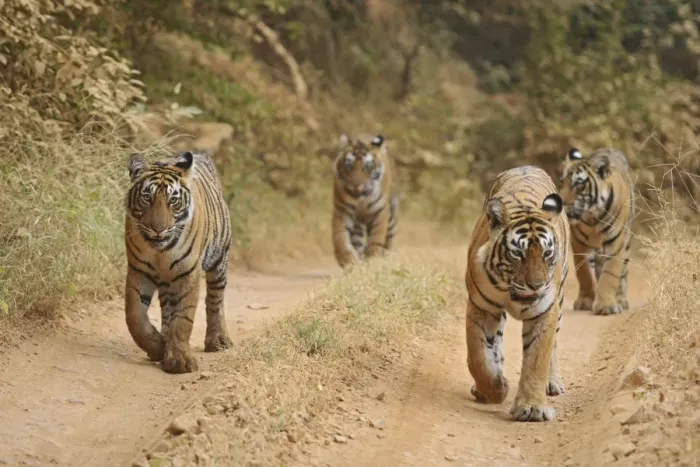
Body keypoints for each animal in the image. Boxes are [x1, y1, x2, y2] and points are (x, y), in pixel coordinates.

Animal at [124, 150, 233, 374]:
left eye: (173, 200)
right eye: (147, 198)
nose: (158, 229)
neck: (160, 251)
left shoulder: (187, 274)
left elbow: (183, 318)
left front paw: (179, 361)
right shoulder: (138, 271)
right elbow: (134, 316)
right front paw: (157, 347)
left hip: (219, 260)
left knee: (215, 300)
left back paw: (217, 340)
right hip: (167, 281)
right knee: (167, 310)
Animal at [332, 133, 399, 269]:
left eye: (368, 166)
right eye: (348, 165)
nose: (356, 185)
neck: (362, 200)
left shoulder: (380, 212)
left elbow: (375, 240)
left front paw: (373, 261)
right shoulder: (342, 211)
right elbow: (340, 240)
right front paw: (349, 263)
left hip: (391, 214)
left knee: (389, 239)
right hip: (357, 224)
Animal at [465, 165, 569, 422]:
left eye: (547, 253)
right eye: (517, 254)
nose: (536, 285)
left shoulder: (545, 310)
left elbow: (537, 357)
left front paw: (532, 407)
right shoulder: (482, 307)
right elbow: (478, 357)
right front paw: (495, 388)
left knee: (554, 345)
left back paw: (552, 383)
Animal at [558, 147, 635, 316]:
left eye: (578, 185)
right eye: (562, 182)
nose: (559, 202)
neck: (592, 216)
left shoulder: (615, 242)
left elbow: (610, 273)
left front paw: (606, 305)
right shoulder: (579, 243)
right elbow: (585, 274)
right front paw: (586, 301)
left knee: (623, 272)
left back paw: (620, 300)